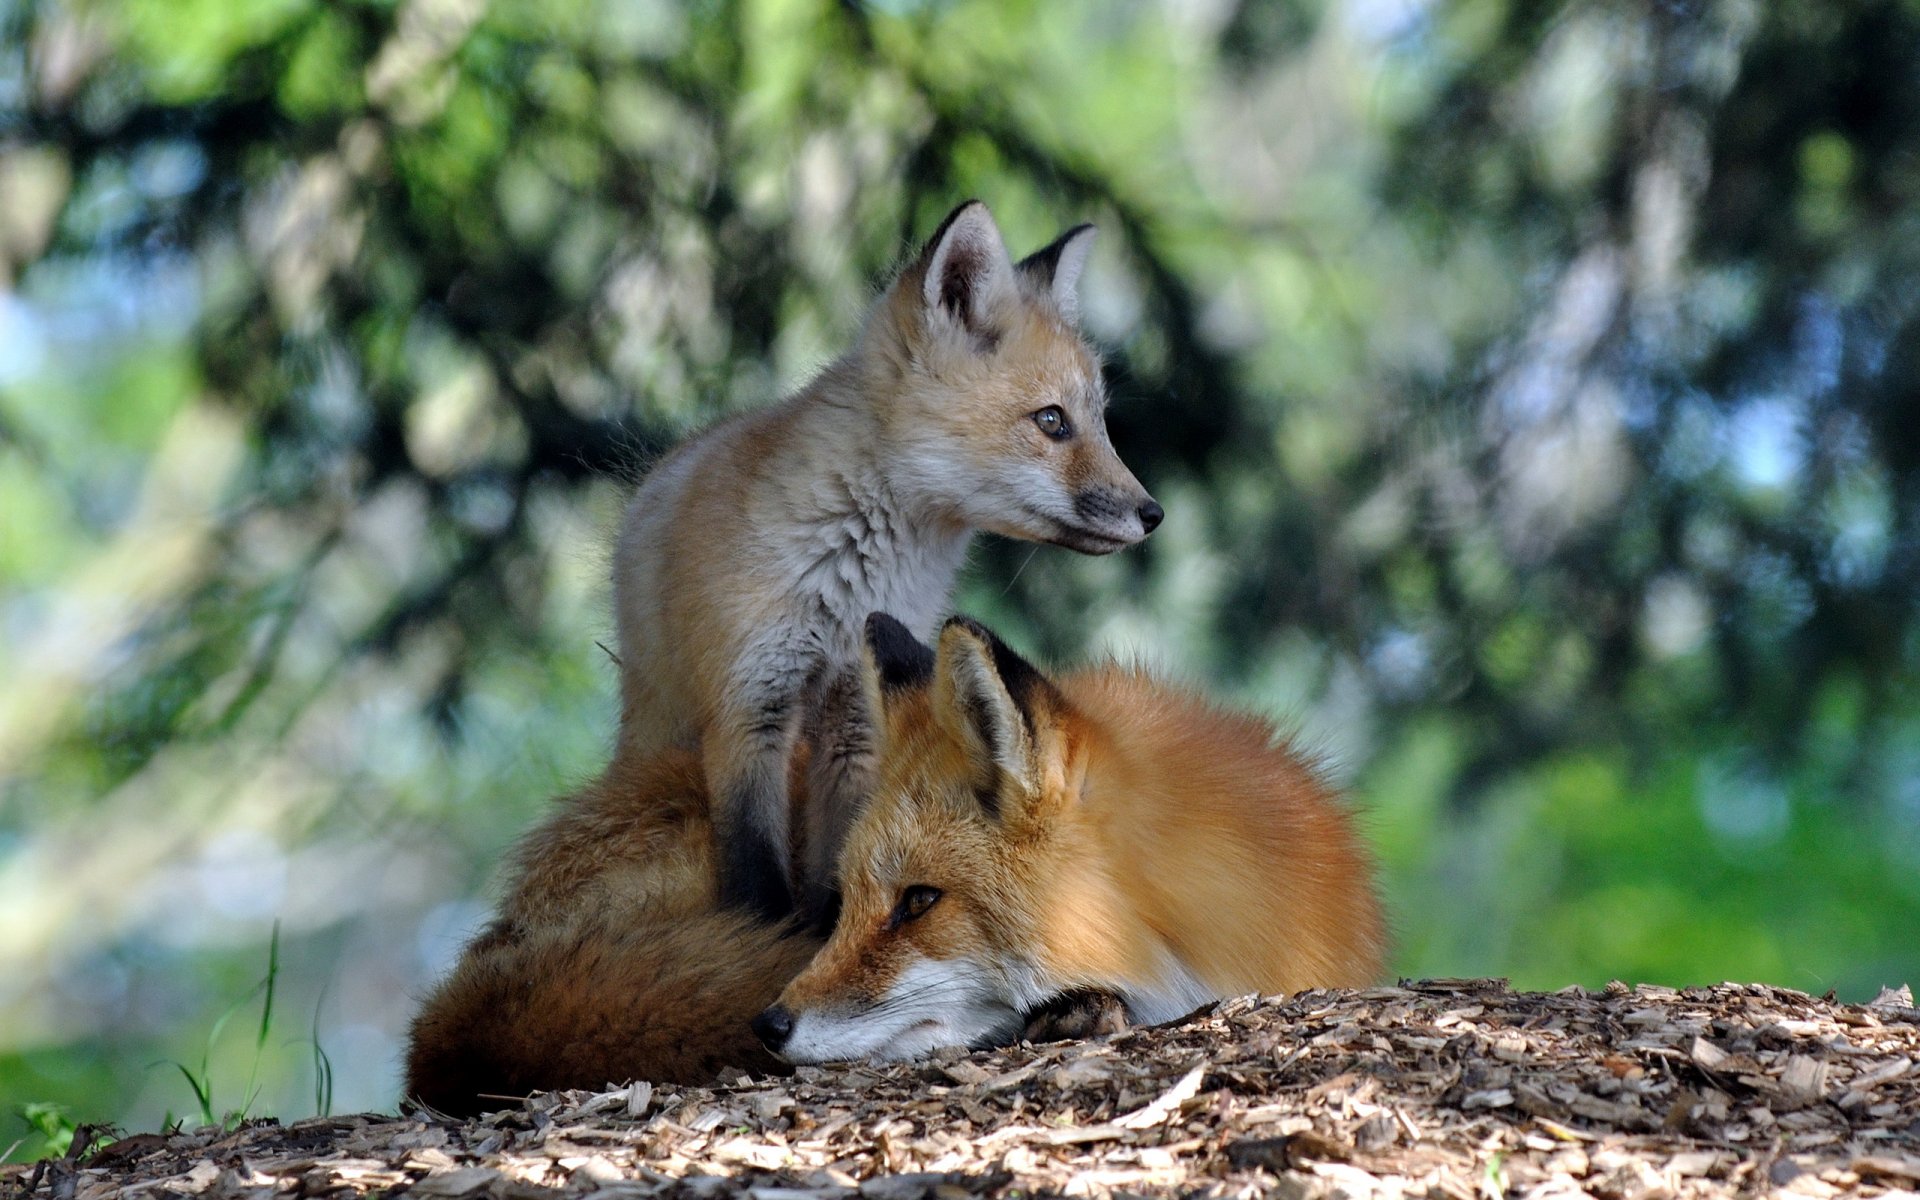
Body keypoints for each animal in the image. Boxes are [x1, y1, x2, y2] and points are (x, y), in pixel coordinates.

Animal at [614, 201, 1152, 921]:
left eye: (1100, 423)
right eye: (1051, 421)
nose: (1152, 513)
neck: (857, 570)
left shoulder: (857, 719)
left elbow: (840, 870)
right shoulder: (747, 710)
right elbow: (757, 888)